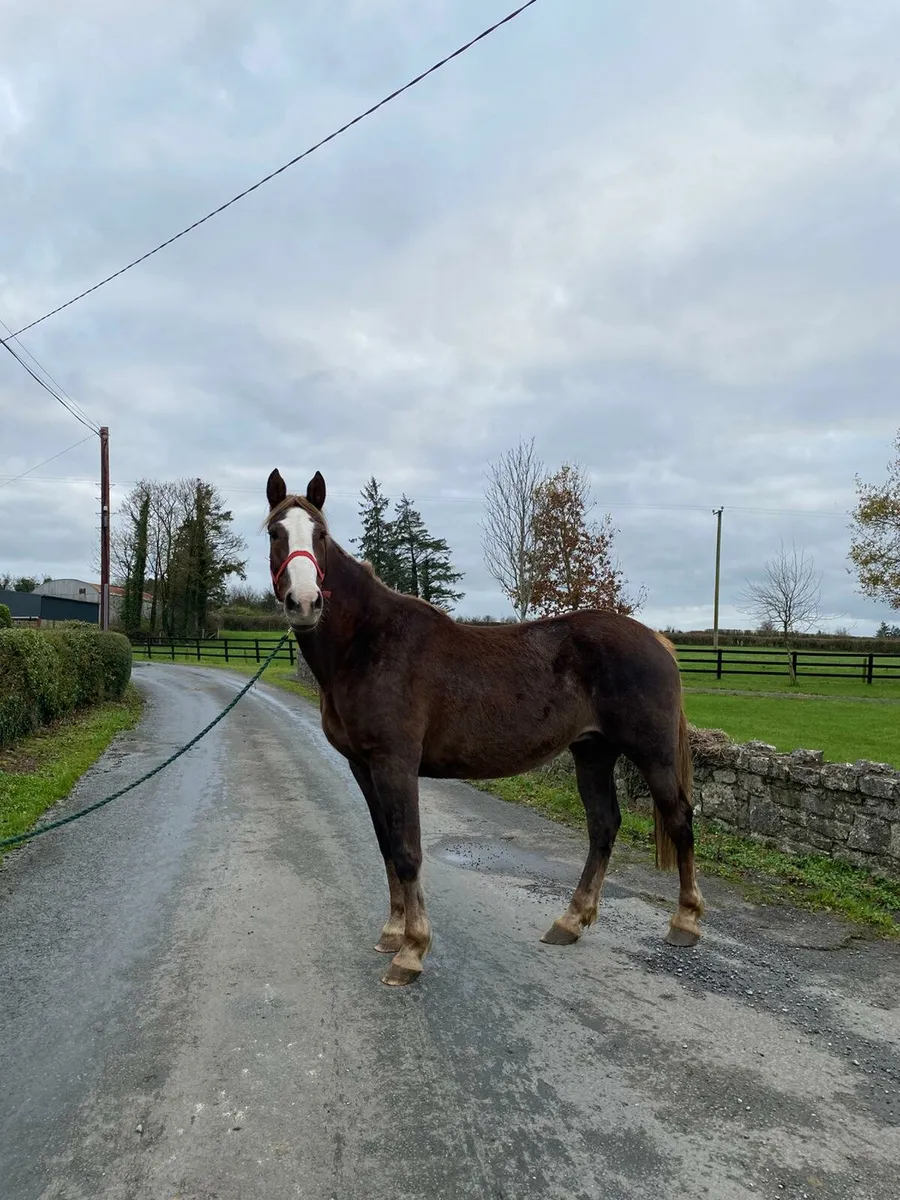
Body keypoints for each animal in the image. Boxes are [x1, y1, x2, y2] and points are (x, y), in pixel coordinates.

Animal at [265, 468, 704, 987]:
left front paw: (411, 950)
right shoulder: (361, 766)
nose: (305, 602)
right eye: (275, 533)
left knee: (679, 819)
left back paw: (685, 922)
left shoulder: (395, 763)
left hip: (652, 753)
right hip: (593, 752)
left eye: (320, 535)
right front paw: (393, 933)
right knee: (603, 826)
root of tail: (656, 639)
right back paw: (570, 921)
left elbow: (408, 851)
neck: (367, 644)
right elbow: (387, 845)